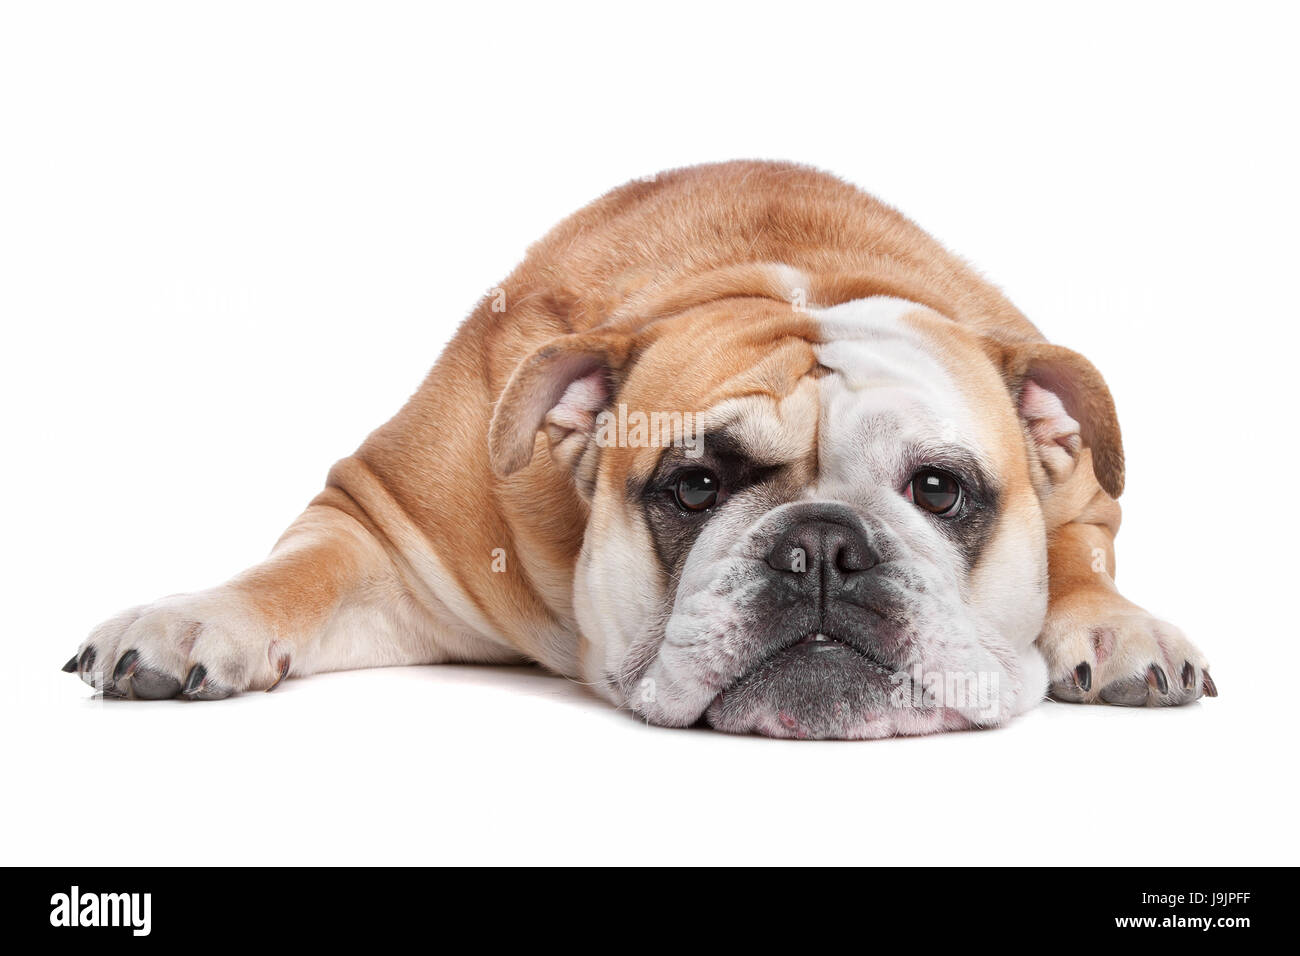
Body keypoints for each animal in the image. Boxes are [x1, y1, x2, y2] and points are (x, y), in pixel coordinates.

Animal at [63, 160, 1216, 738]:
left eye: (938, 489)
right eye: (693, 485)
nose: (824, 547)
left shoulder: (1087, 494)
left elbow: (1078, 547)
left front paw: (1114, 625)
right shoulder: (388, 526)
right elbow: (296, 572)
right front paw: (195, 616)